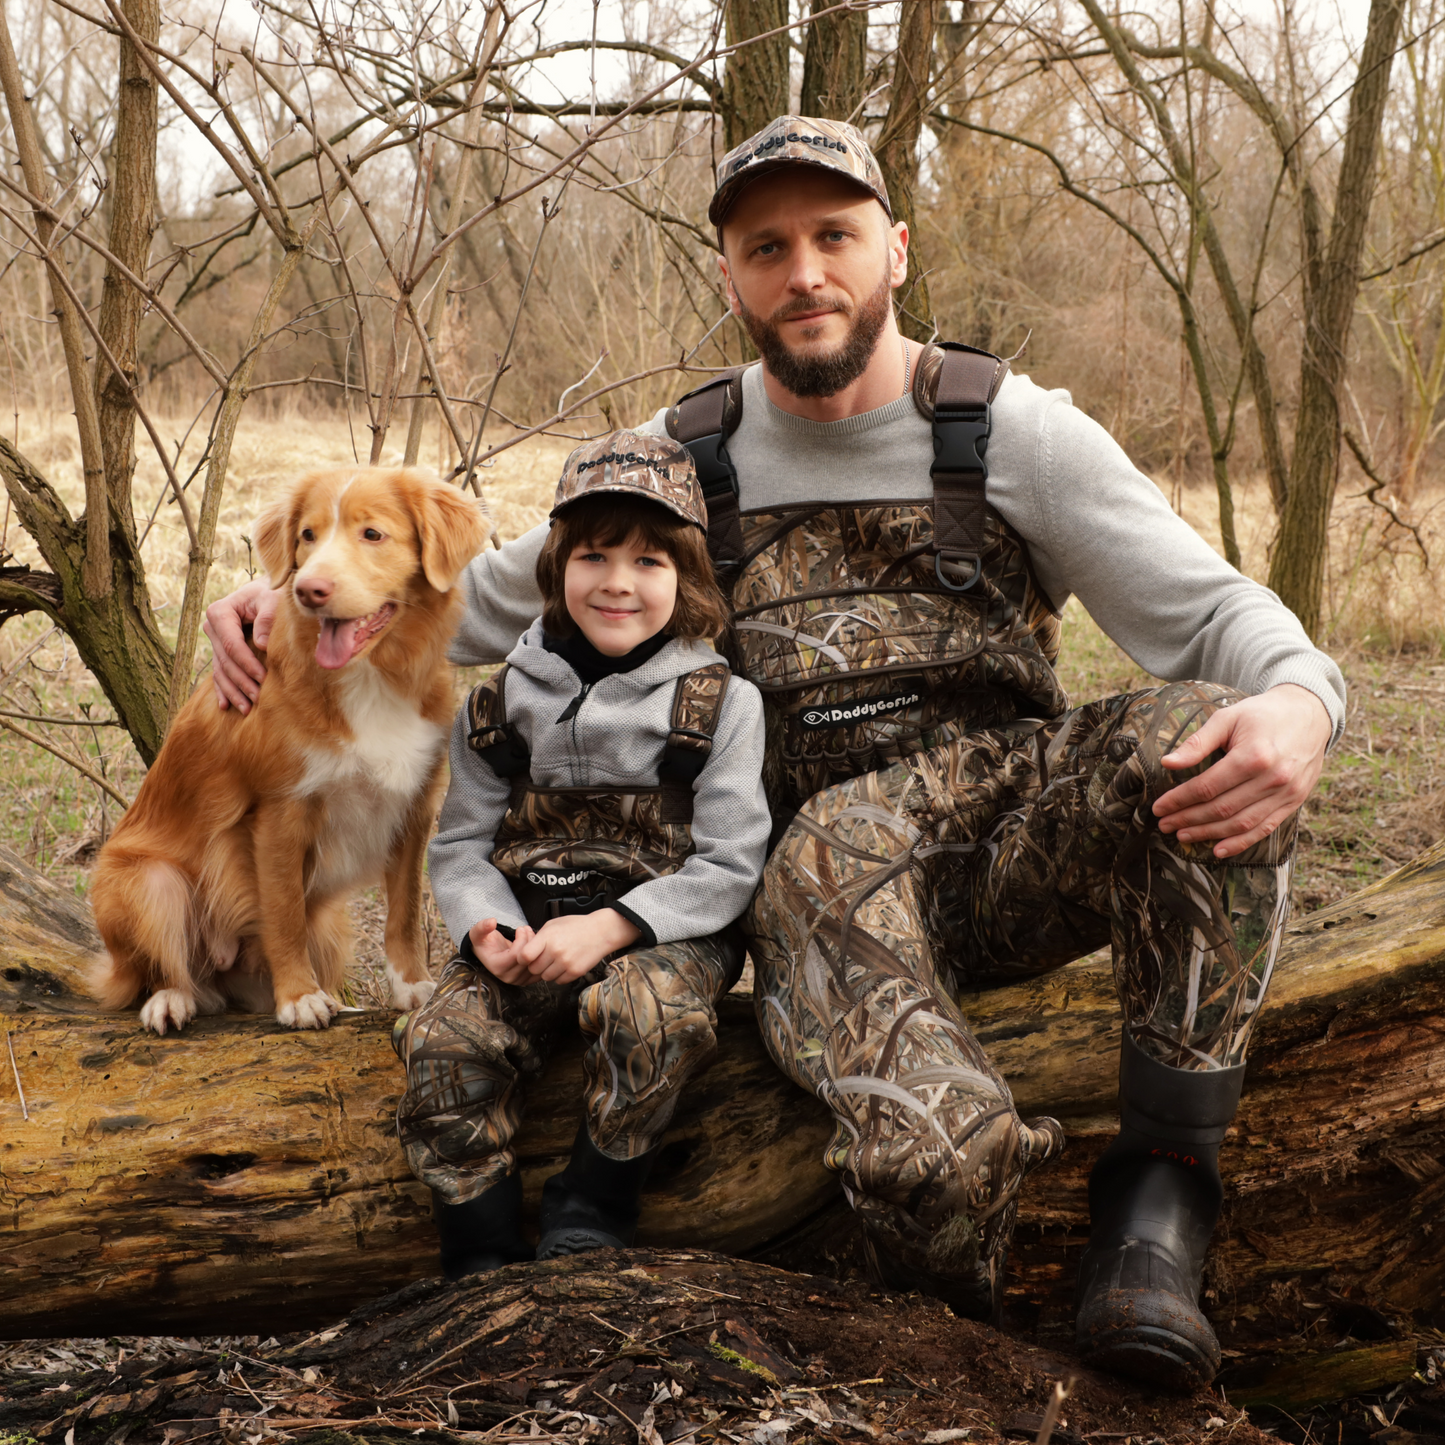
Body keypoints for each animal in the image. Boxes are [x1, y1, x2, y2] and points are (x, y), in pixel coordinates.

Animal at [88, 462, 491, 1028]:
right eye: (308, 536)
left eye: (372, 534)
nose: (307, 589)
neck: (368, 678)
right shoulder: (281, 812)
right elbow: (282, 914)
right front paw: (299, 996)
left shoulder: (414, 808)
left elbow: (405, 909)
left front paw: (411, 985)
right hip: (148, 883)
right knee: (163, 969)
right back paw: (171, 1000)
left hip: (330, 927)